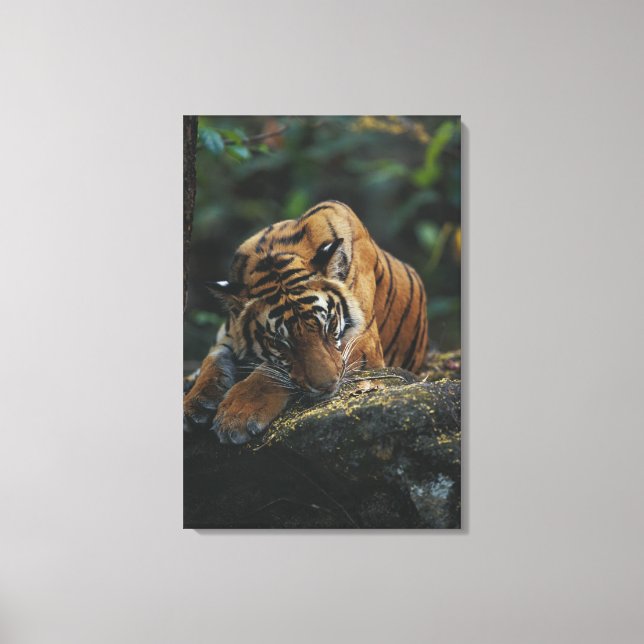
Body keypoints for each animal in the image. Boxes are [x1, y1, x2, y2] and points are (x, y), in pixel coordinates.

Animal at [184, 200, 429, 444]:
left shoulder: (364, 341)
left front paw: (237, 413)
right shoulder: (229, 332)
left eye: (329, 326)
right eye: (280, 343)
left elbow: (270, 370)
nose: (328, 386)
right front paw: (193, 403)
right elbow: (212, 359)